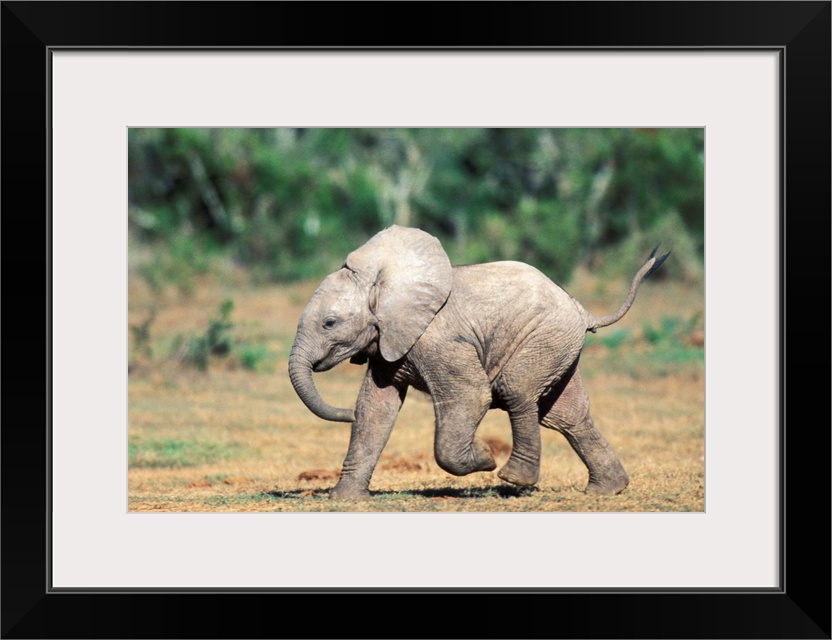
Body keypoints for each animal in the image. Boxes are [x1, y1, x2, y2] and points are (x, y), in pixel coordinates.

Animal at [290, 225, 668, 500]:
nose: (345, 413)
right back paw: (606, 490)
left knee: (518, 392)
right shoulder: (389, 340)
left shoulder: (437, 339)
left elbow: (470, 396)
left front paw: (485, 456)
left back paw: (514, 478)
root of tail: (581, 309)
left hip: (543, 338)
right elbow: (375, 409)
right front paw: (345, 500)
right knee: (566, 416)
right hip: (558, 346)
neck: (383, 283)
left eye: (329, 323)